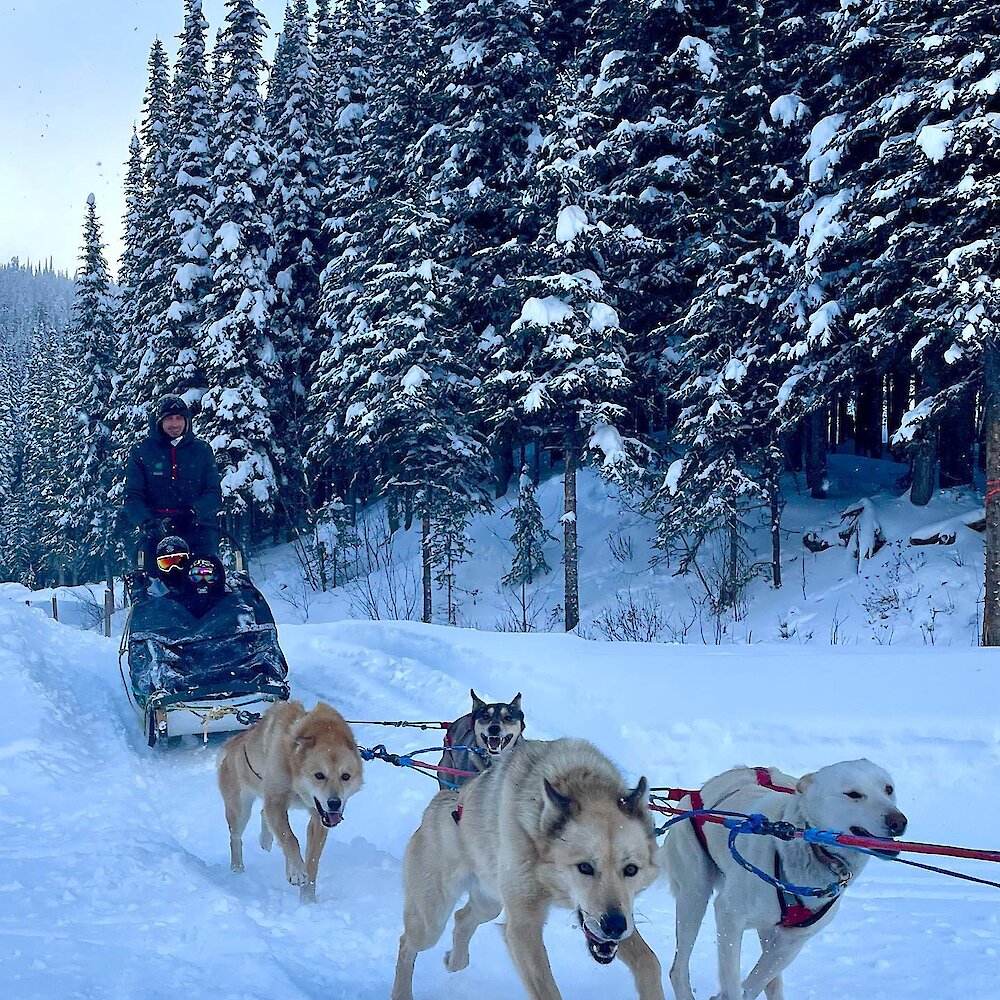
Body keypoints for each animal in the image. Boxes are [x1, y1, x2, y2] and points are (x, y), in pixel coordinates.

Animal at [217, 700, 366, 904]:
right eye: (319, 775)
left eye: (346, 776)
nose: (334, 803)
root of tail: (233, 743)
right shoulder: (276, 801)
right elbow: (290, 838)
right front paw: (296, 872)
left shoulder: (318, 819)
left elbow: (312, 861)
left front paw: (308, 898)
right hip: (240, 810)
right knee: (235, 838)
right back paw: (237, 869)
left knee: (263, 814)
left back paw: (266, 840)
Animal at [390, 736, 664, 1000]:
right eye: (585, 867)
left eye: (631, 869)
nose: (614, 927)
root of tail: (443, 802)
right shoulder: (523, 927)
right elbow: (547, 990)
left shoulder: (622, 915)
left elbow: (649, 961)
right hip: (430, 922)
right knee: (406, 943)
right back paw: (402, 993)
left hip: (490, 903)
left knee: (462, 918)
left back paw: (456, 961)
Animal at [664, 756, 908, 1000]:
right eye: (854, 794)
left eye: (888, 789)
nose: (898, 821)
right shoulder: (729, 915)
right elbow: (734, 983)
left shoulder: (792, 941)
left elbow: (754, 983)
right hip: (694, 897)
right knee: (678, 969)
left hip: (767, 929)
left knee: (771, 982)